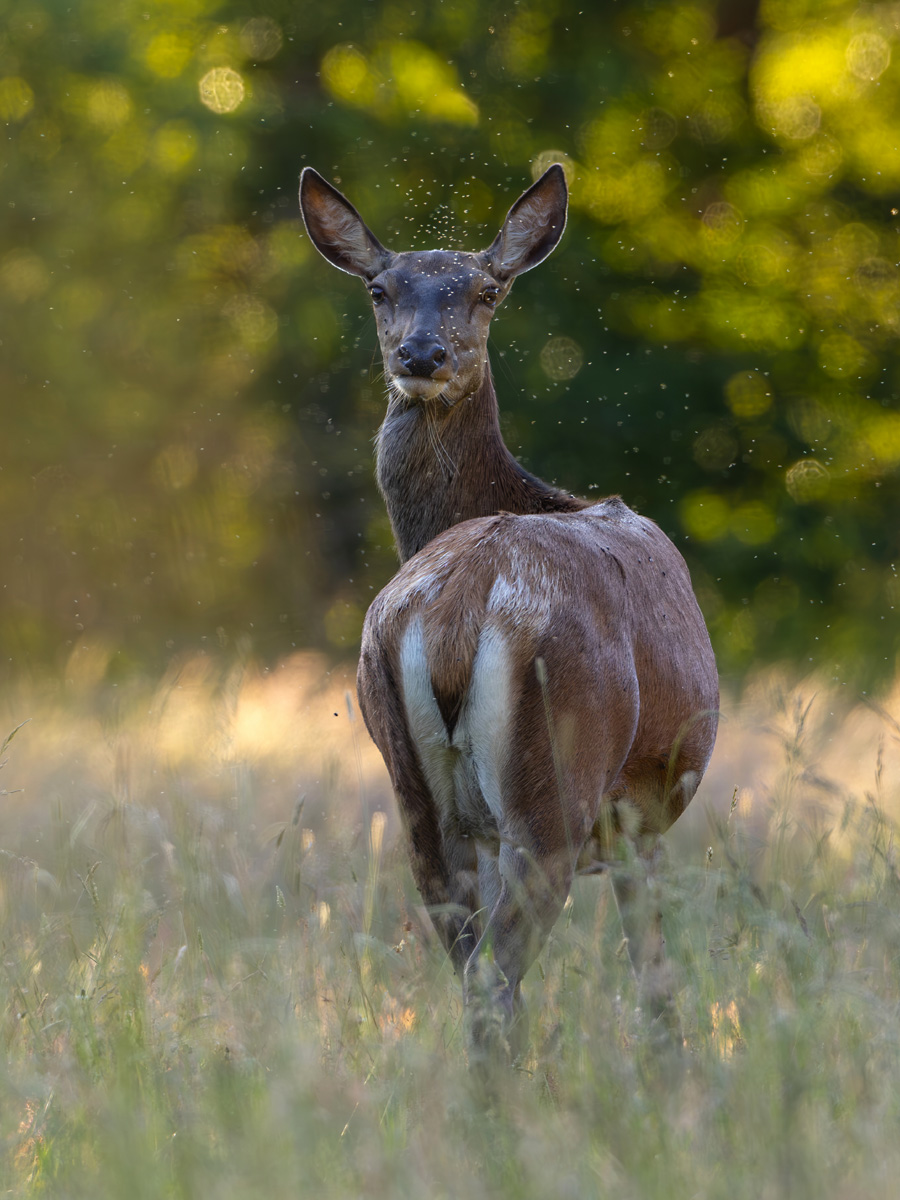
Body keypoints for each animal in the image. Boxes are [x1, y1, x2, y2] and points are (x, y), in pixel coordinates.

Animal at [301, 162, 720, 1060]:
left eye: (486, 291)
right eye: (381, 290)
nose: (423, 353)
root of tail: (461, 610)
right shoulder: (641, 821)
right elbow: (658, 984)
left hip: (419, 798)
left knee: (473, 978)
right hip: (555, 781)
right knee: (499, 982)